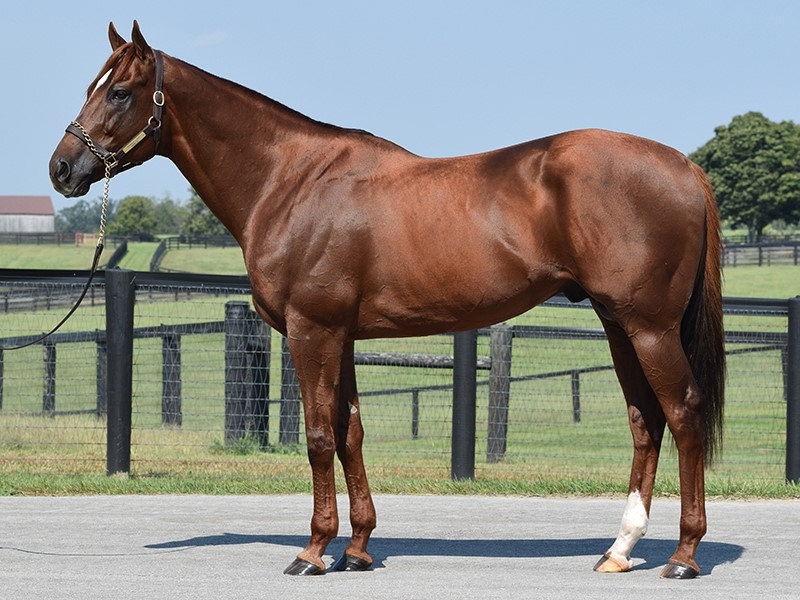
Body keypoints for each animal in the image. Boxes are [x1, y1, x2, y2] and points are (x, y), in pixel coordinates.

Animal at [50, 21, 724, 580]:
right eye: (91, 86)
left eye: (119, 92)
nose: (62, 168)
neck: (292, 182)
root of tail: (684, 167)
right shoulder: (341, 336)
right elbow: (351, 432)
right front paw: (356, 549)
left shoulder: (312, 331)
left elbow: (320, 436)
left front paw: (313, 552)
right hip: (618, 324)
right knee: (645, 421)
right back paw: (619, 551)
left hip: (649, 327)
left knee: (684, 414)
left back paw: (684, 556)